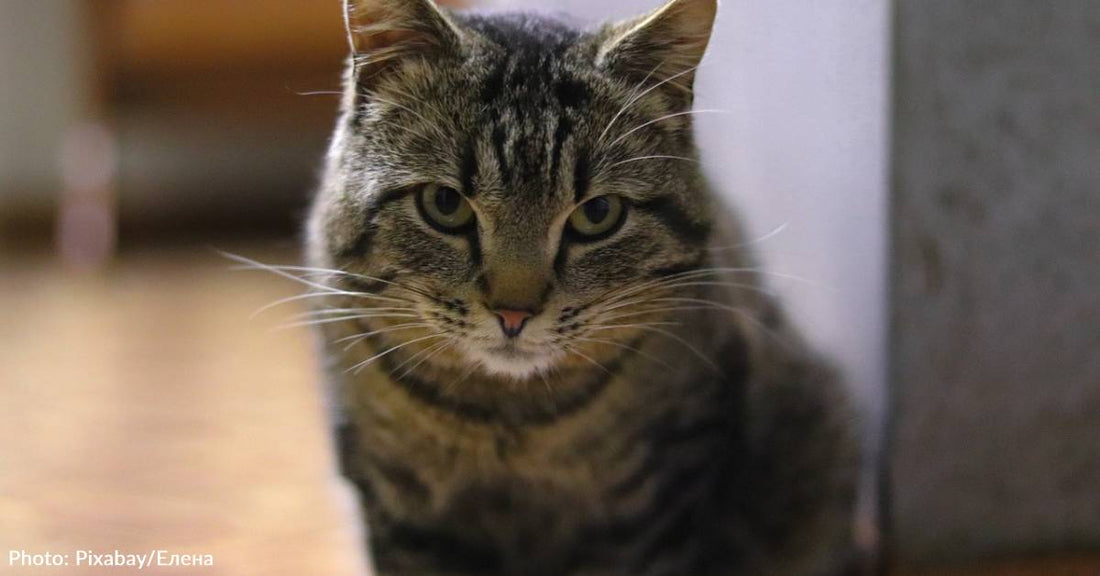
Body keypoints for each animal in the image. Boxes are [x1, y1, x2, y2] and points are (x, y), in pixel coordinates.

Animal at [303, 0, 858, 571]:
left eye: (597, 214)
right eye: (445, 204)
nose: (514, 313)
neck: (508, 420)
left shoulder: (657, 495)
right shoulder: (395, 508)